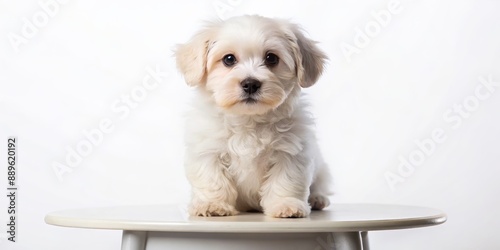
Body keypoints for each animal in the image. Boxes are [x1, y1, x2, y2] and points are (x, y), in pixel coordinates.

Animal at [176, 15, 332, 217]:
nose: (250, 84)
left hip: (322, 168)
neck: (248, 120)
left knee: (319, 184)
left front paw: (285, 205)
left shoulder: (291, 153)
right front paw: (212, 204)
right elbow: (213, 180)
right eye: (228, 59)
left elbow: (286, 181)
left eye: (271, 58)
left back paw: (317, 198)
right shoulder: (207, 151)